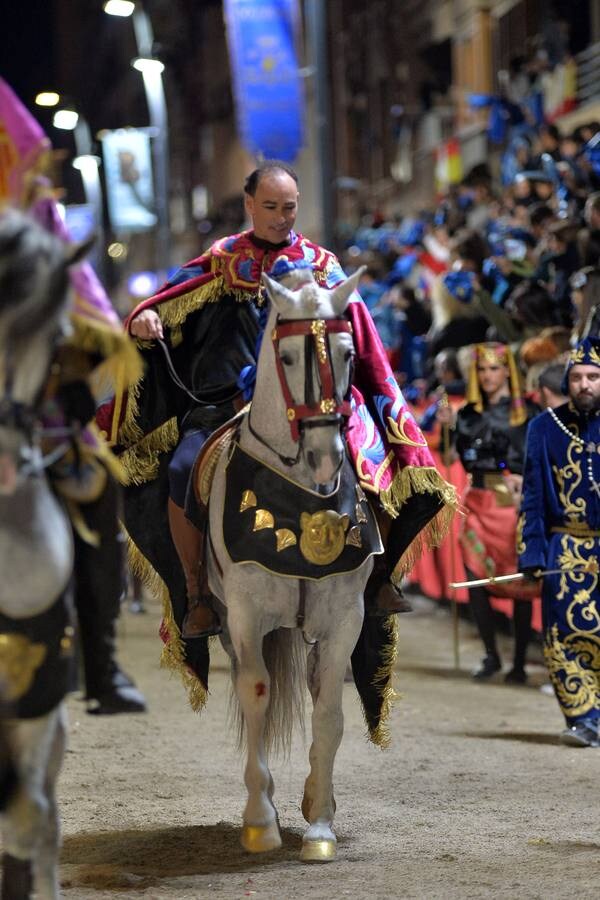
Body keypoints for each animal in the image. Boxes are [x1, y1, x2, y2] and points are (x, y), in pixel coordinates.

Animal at [206, 264, 384, 860]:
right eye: (285, 357)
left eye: (348, 352)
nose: (325, 456)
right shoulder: (245, 617)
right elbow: (257, 695)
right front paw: (261, 822)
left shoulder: (344, 617)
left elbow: (328, 713)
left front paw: (320, 825)